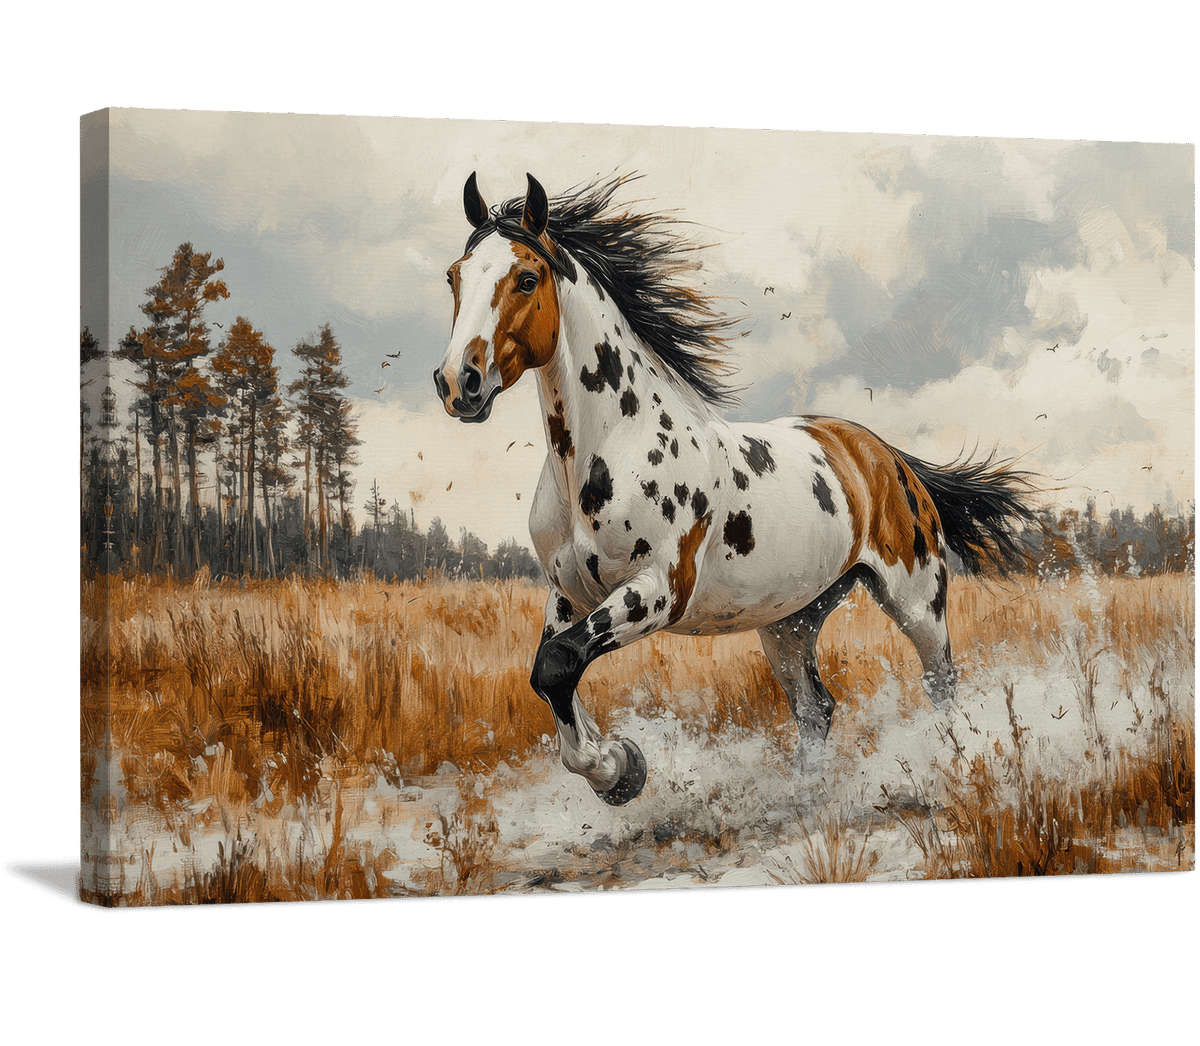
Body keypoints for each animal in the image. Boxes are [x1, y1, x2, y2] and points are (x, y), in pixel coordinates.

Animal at [433, 173, 1036, 807]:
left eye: (527, 279)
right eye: (454, 276)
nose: (458, 383)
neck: (612, 446)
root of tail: (887, 456)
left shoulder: (657, 590)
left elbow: (557, 664)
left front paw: (619, 769)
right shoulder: (568, 595)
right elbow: (552, 676)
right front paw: (617, 765)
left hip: (916, 598)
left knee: (940, 683)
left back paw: (945, 768)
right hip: (791, 620)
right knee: (816, 708)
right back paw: (806, 798)